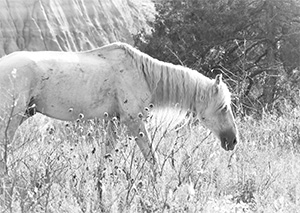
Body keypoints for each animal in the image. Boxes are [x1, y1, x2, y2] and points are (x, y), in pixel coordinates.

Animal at [0, 42, 239, 173]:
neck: (143, 75)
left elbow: (105, 159)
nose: (233, 141)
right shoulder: (133, 122)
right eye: (223, 107)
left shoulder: (114, 121)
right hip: (10, 121)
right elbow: (152, 159)